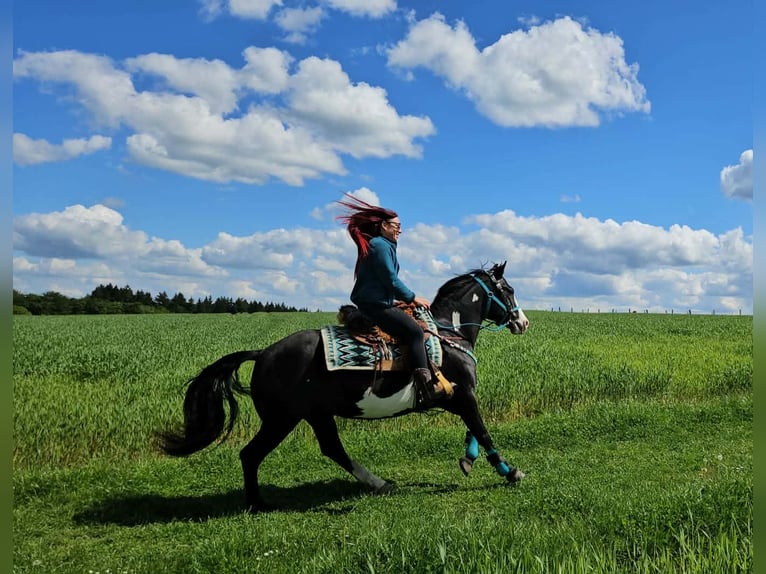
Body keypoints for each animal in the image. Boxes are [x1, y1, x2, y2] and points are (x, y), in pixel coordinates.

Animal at [157, 262, 529, 512]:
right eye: (509, 290)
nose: (523, 322)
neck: (448, 333)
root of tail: (263, 353)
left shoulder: (460, 397)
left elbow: (473, 430)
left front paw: (468, 461)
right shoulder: (463, 395)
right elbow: (482, 430)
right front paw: (510, 472)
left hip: (314, 415)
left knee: (331, 449)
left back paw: (377, 483)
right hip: (282, 419)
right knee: (252, 454)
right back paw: (257, 503)